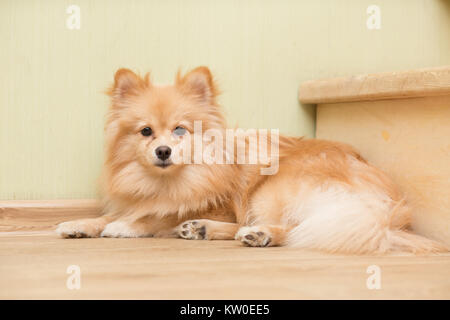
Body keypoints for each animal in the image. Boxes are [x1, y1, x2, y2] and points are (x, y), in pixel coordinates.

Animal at [57, 66, 446, 254]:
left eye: (180, 131)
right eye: (146, 132)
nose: (163, 151)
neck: (170, 182)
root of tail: (388, 209)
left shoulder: (216, 205)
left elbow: (155, 217)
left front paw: (124, 226)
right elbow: (117, 213)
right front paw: (80, 223)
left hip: (271, 190)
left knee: (299, 228)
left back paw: (259, 234)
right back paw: (201, 229)